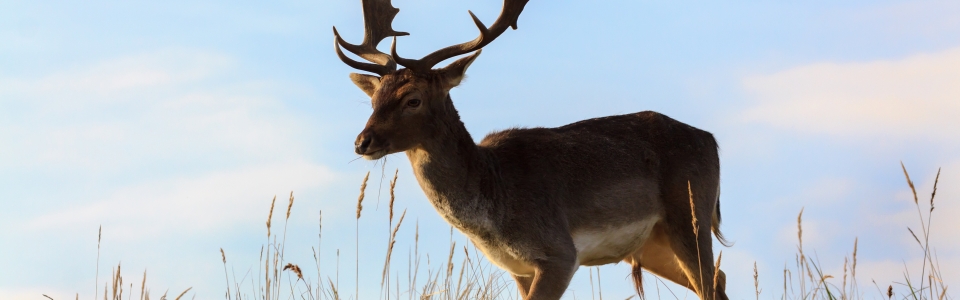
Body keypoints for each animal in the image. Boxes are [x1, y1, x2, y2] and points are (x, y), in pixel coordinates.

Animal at [334, 1, 732, 298]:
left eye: (413, 99)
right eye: (374, 99)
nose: (362, 142)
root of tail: (710, 139)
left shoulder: (559, 253)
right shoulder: (519, 270)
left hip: (690, 215)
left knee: (710, 281)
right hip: (652, 244)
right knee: (719, 280)